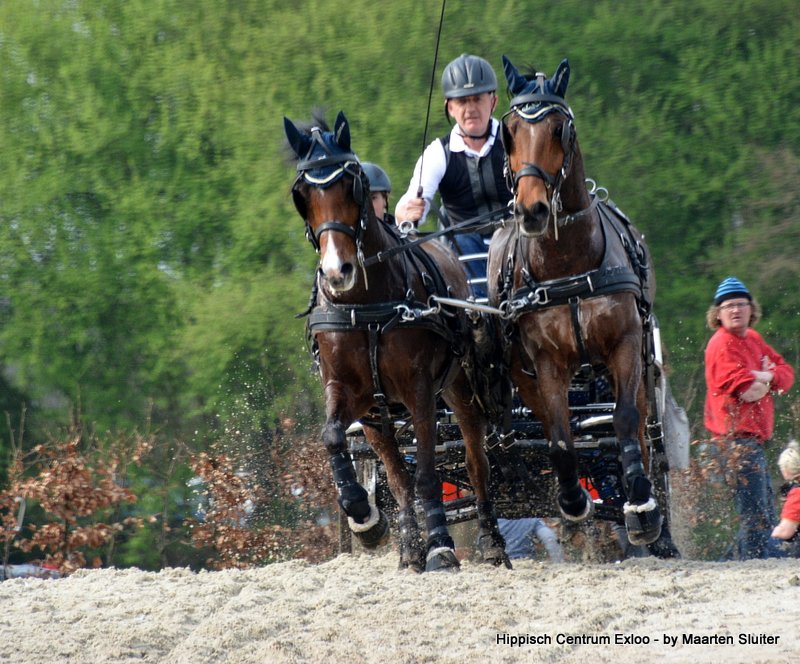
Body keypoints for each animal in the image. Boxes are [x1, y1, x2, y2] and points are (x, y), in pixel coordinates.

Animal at [284, 111, 509, 572]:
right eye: (302, 193)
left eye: (350, 184)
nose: (337, 272)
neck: (368, 304)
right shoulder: (349, 392)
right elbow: (335, 439)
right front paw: (366, 518)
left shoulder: (420, 390)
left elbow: (426, 474)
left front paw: (440, 546)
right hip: (379, 417)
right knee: (396, 473)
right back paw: (407, 548)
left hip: (459, 391)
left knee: (475, 461)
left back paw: (490, 541)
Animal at [487, 56, 663, 547]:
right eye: (509, 130)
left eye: (559, 128)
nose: (531, 211)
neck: (567, 262)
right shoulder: (548, 362)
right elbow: (561, 439)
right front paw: (572, 500)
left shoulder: (625, 344)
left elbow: (624, 420)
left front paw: (641, 504)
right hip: (521, 375)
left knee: (641, 423)